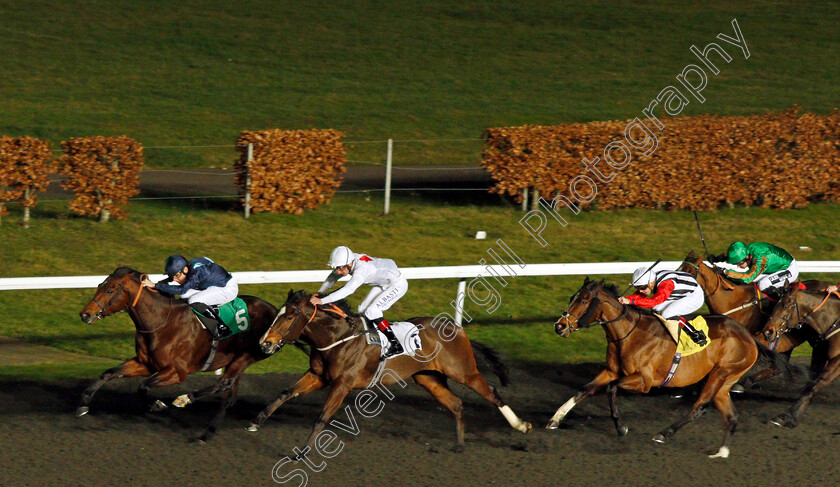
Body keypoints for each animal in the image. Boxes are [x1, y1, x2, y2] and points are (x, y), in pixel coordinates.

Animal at [78, 266, 278, 442]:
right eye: (99, 285)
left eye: (110, 290)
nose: (85, 314)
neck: (160, 321)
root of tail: (275, 310)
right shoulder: (145, 363)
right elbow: (109, 373)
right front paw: (83, 403)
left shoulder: (177, 371)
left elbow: (143, 385)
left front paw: (156, 405)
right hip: (237, 360)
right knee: (229, 396)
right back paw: (207, 434)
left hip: (249, 355)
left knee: (223, 383)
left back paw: (186, 399)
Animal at [249, 290, 532, 454]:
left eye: (290, 316)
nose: (264, 343)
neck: (338, 338)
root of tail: (457, 328)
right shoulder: (318, 376)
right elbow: (286, 392)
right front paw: (256, 421)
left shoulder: (342, 383)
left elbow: (322, 417)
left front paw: (303, 453)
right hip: (428, 378)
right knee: (456, 404)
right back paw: (460, 445)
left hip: (463, 371)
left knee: (491, 392)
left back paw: (521, 425)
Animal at [552, 276, 796, 460]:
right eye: (572, 297)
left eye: (584, 301)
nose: (559, 326)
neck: (628, 334)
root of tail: (749, 336)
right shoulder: (612, 371)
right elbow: (583, 389)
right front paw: (555, 419)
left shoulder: (644, 381)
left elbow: (611, 388)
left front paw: (621, 427)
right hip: (726, 381)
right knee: (731, 416)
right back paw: (722, 452)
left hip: (720, 373)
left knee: (699, 407)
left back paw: (664, 433)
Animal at [760, 284, 840, 428]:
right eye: (776, 304)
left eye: (786, 305)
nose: (767, 331)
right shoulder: (819, 354)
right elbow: (810, 384)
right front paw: (793, 417)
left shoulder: (837, 362)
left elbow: (815, 385)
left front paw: (785, 415)